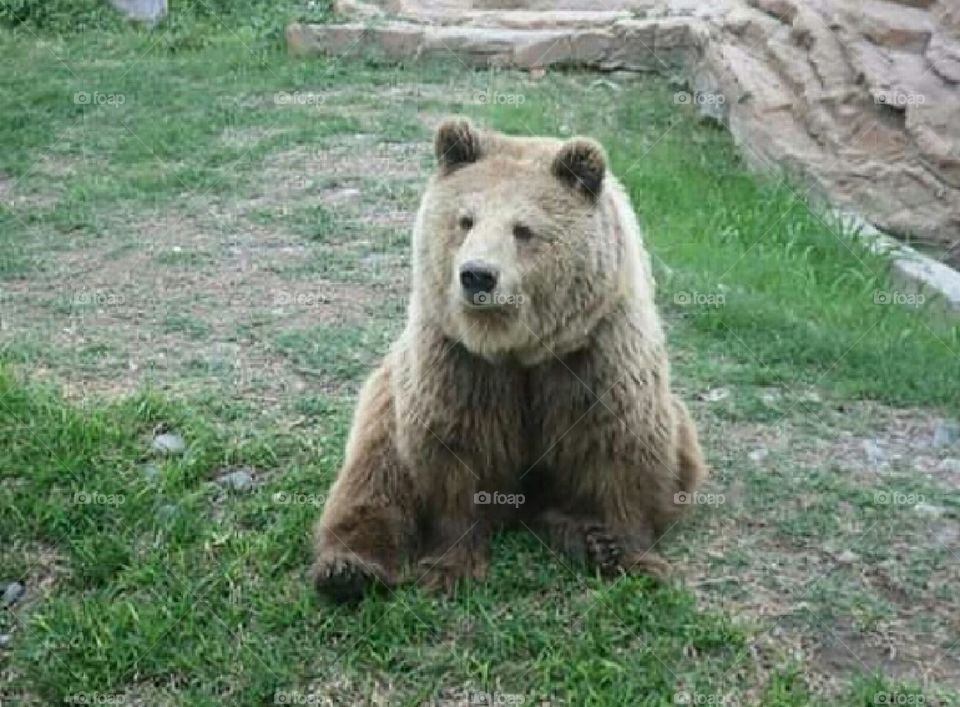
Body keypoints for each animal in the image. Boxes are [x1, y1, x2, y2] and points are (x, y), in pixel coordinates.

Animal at [311, 118, 707, 601]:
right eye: (465, 220)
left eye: (523, 229)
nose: (478, 276)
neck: (518, 347)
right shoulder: (459, 363)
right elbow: (455, 458)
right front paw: (450, 566)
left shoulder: (594, 356)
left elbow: (620, 447)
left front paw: (630, 555)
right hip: (389, 398)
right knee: (374, 476)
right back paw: (349, 569)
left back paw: (585, 537)